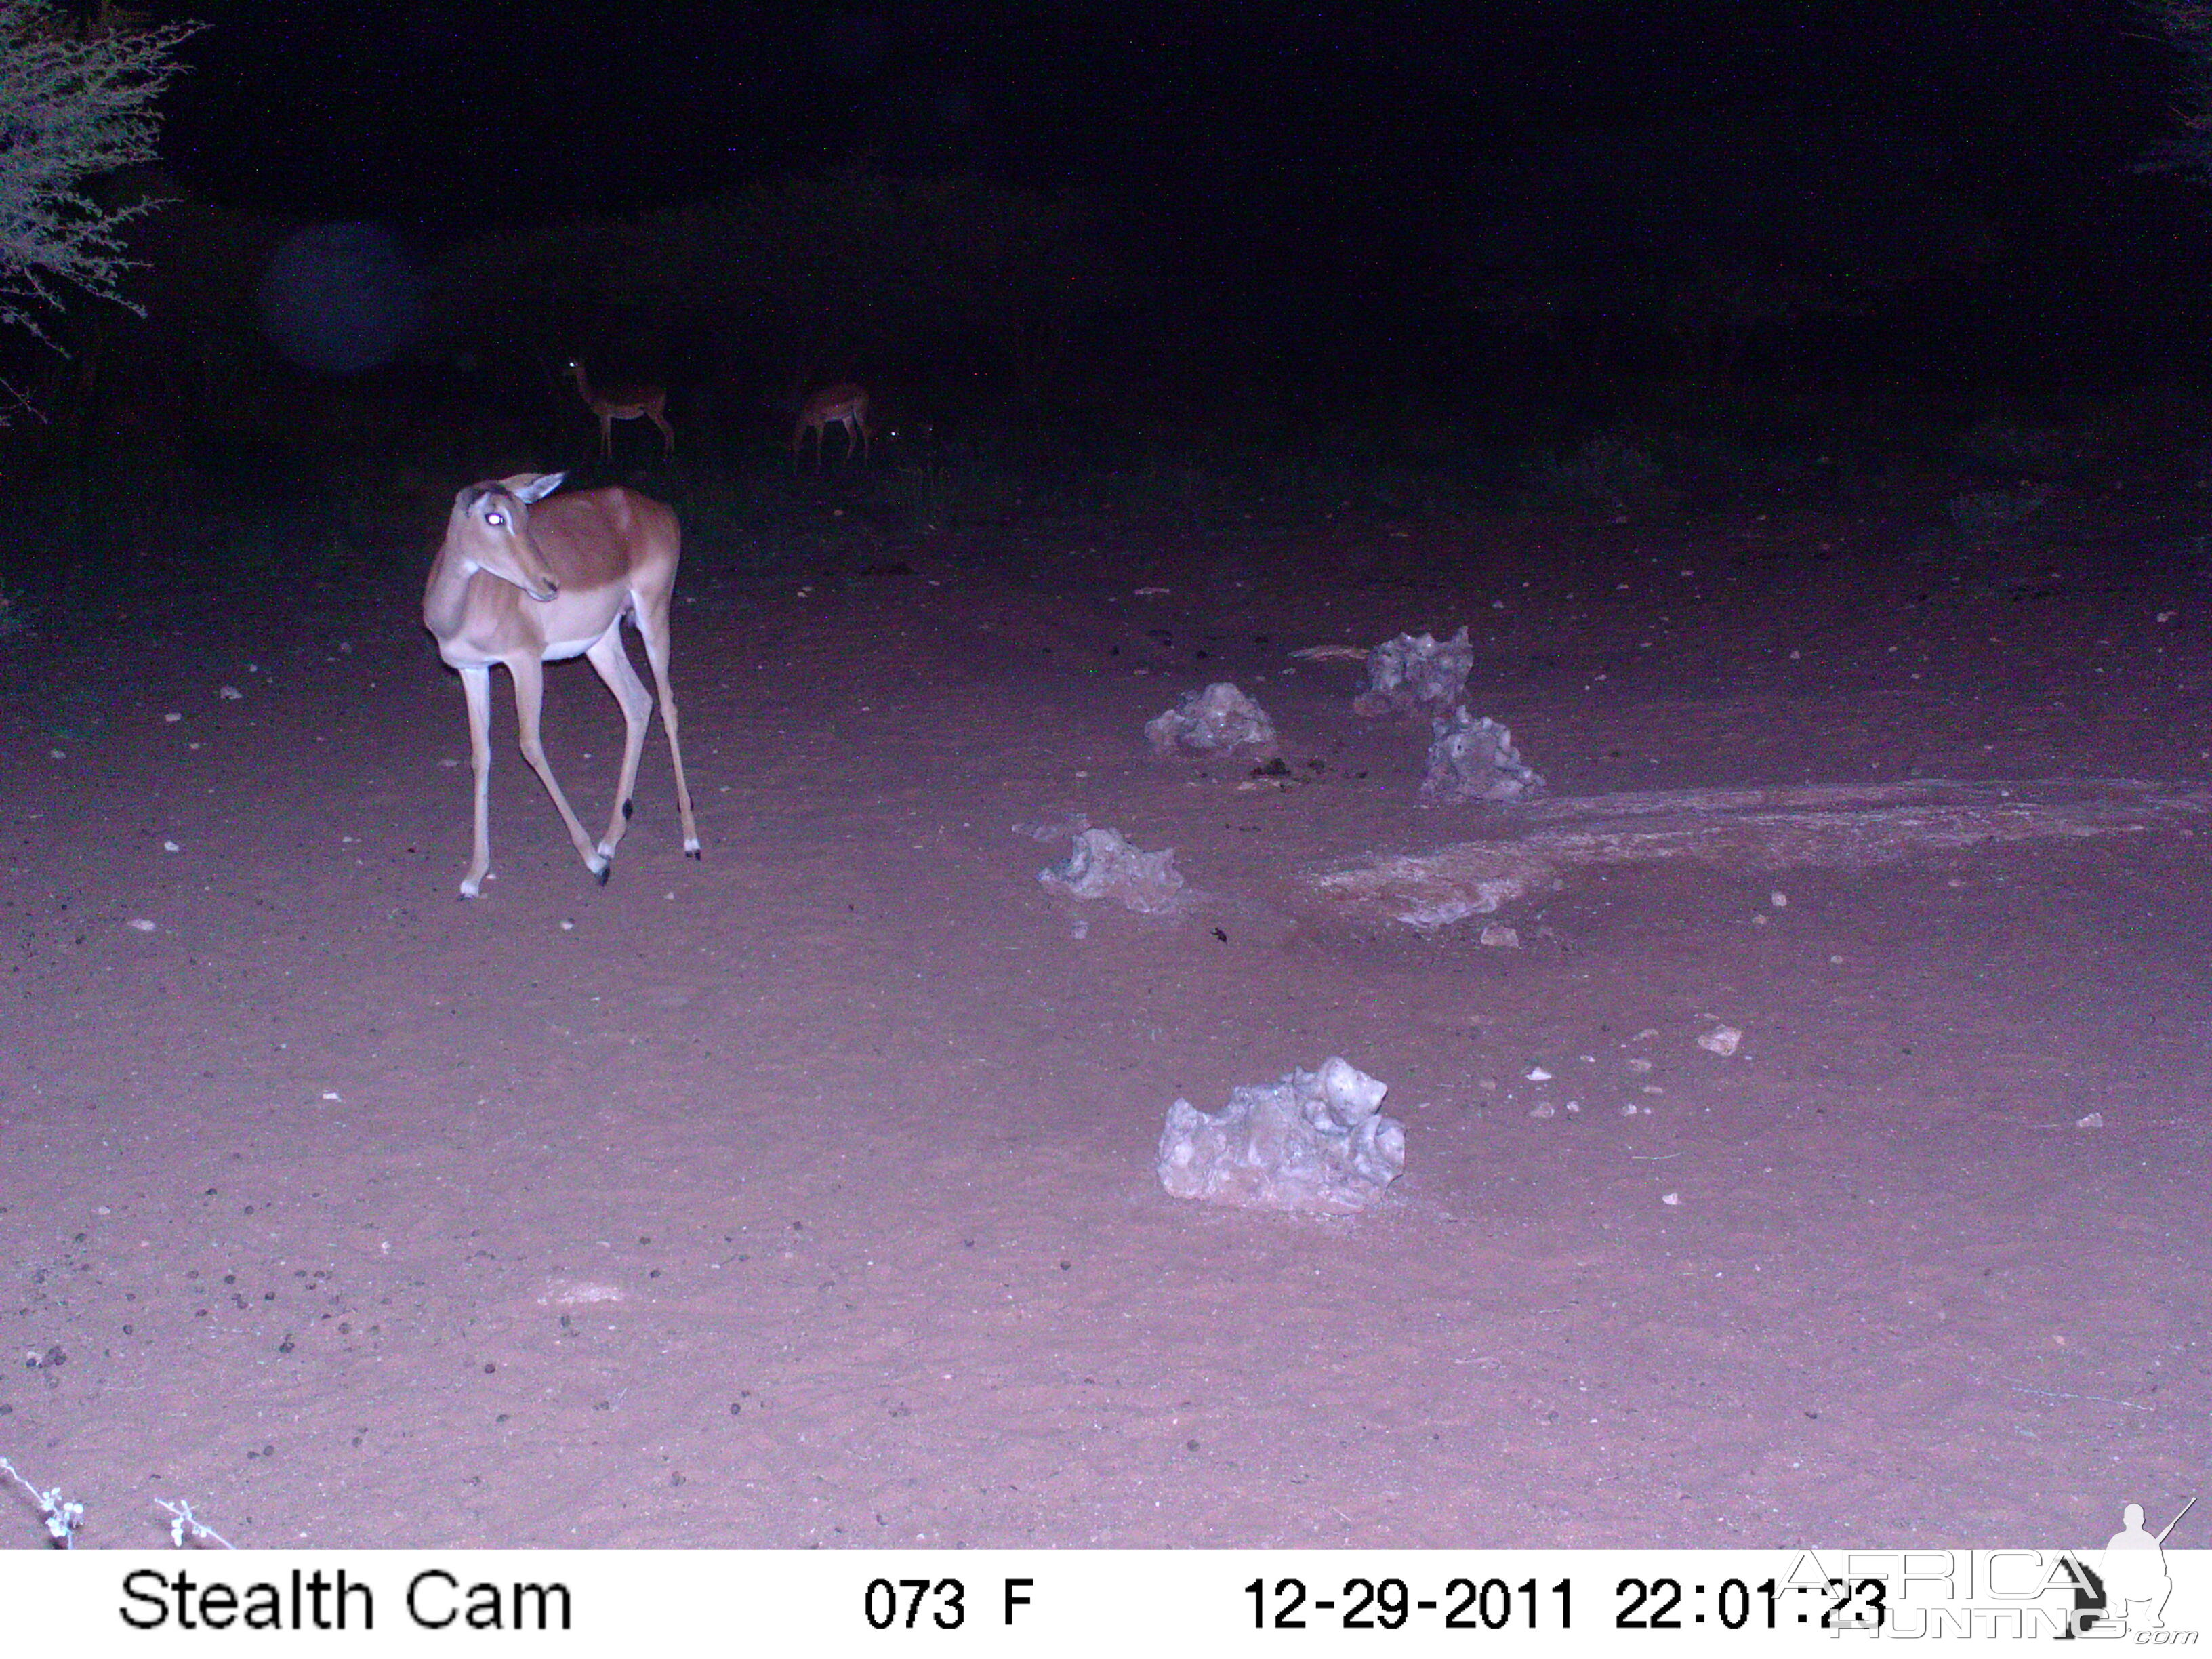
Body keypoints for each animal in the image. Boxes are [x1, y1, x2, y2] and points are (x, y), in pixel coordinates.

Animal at [422, 473, 699, 902]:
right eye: (495, 517)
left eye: (525, 515)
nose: (549, 583)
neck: (460, 611)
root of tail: (658, 508)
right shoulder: (472, 670)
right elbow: (480, 757)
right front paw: (473, 876)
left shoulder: (525, 662)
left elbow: (530, 746)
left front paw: (594, 865)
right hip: (601, 641)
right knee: (638, 703)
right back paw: (610, 839)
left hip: (654, 616)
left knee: (668, 705)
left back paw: (688, 840)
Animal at [562, 358, 672, 457]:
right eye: (570, 362)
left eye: (572, 364)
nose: (564, 372)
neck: (592, 396)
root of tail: (665, 392)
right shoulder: (608, 416)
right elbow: (607, 433)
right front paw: (608, 455)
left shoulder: (604, 414)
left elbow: (604, 433)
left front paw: (604, 456)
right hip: (658, 412)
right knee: (669, 428)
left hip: (654, 412)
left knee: (667, 429)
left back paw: (666, 455)